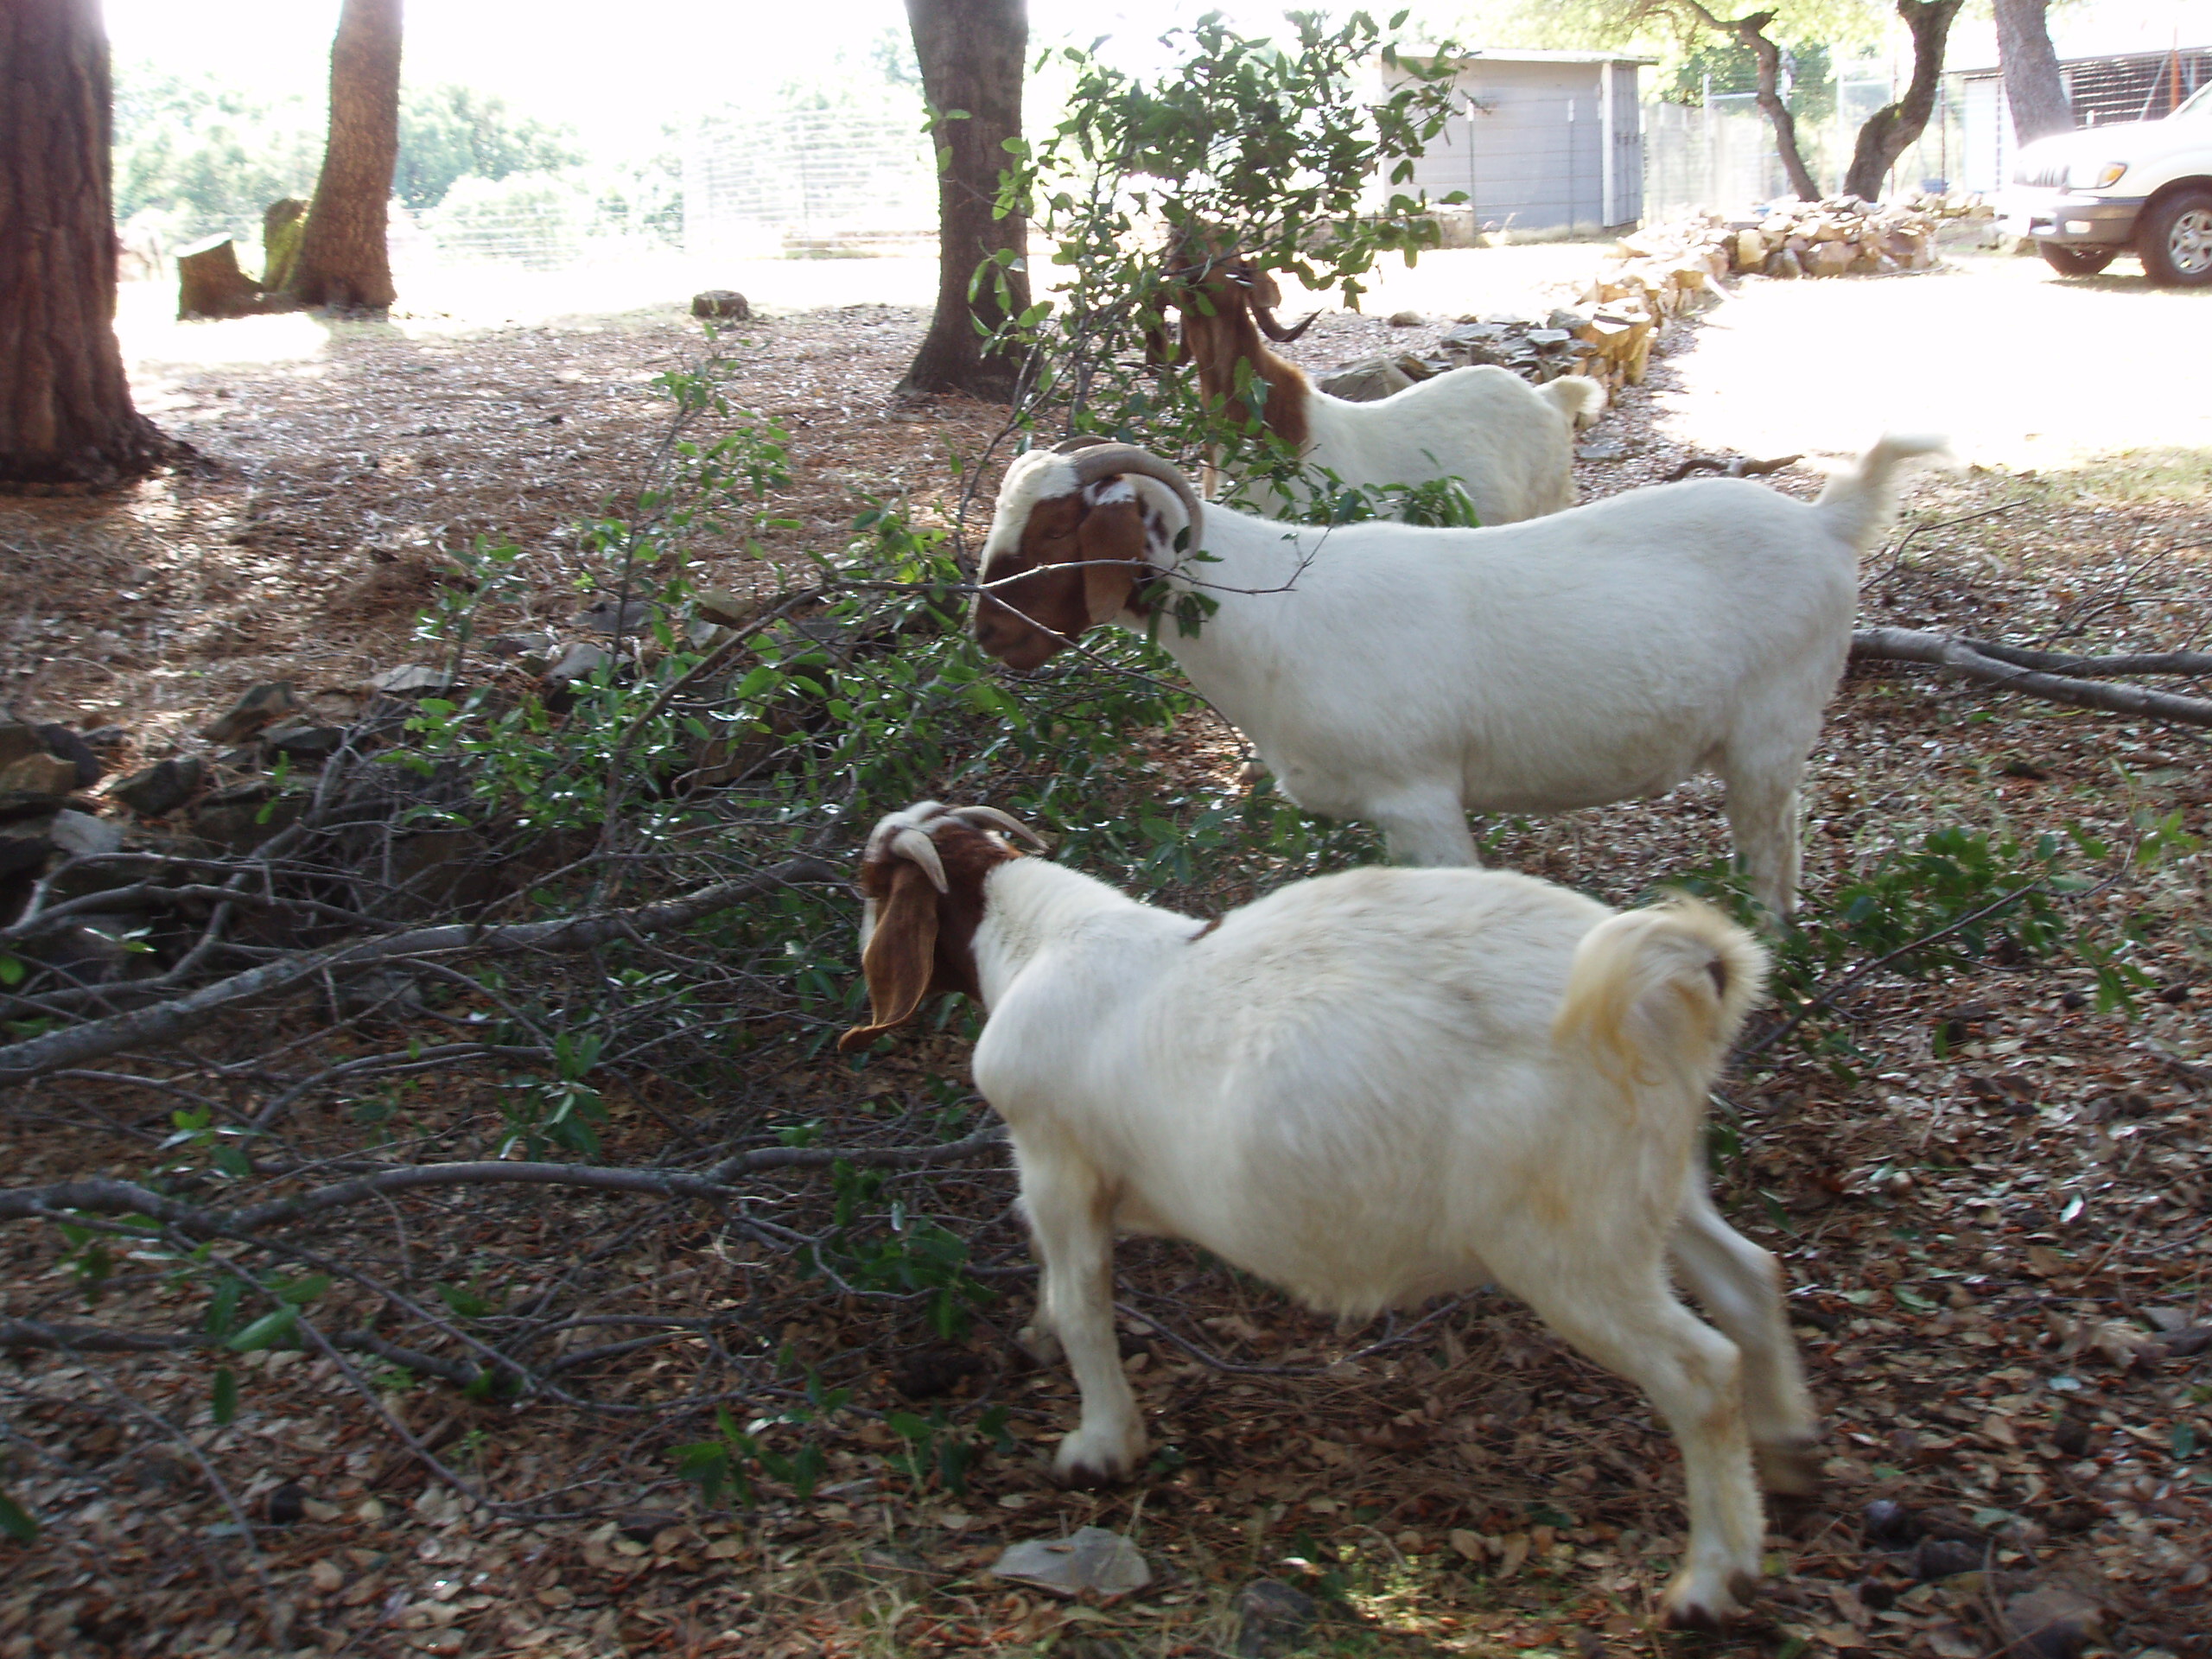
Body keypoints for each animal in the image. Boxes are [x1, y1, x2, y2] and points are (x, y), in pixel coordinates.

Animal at [836, 804, 1822, 1637]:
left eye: (869, 883)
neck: (1039, 937)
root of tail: (1676, 981)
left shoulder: (1057, 1160)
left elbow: (1084, 1299)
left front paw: (1099, 1448)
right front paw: (1041, 1341)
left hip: (1566, 1238)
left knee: (1699, 1373)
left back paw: (1712, 1581)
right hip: (1653, 1186)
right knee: (1748, 1276)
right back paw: (1788, 1458)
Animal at [977, 435, 1946, 925]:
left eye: (1058, 530)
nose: (985, 631)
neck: (1270, 613)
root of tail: (1827, 523)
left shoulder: (1419, 799)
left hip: (1769, 734)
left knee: (1775, 849)